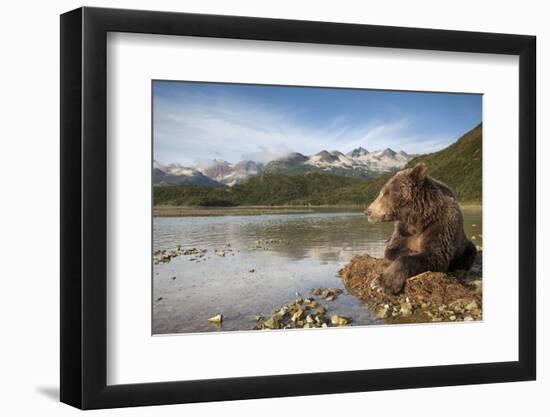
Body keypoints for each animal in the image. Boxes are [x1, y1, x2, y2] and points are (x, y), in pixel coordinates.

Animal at [364, 161, 476, 294]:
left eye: (385, 193)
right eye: (381, 192)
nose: (368, 212)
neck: (419, 219)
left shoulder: (440, 225)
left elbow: (434, 255)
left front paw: (381, 283)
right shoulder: (403, 230)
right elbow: (392, 249)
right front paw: (410, 251)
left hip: (464, 246)